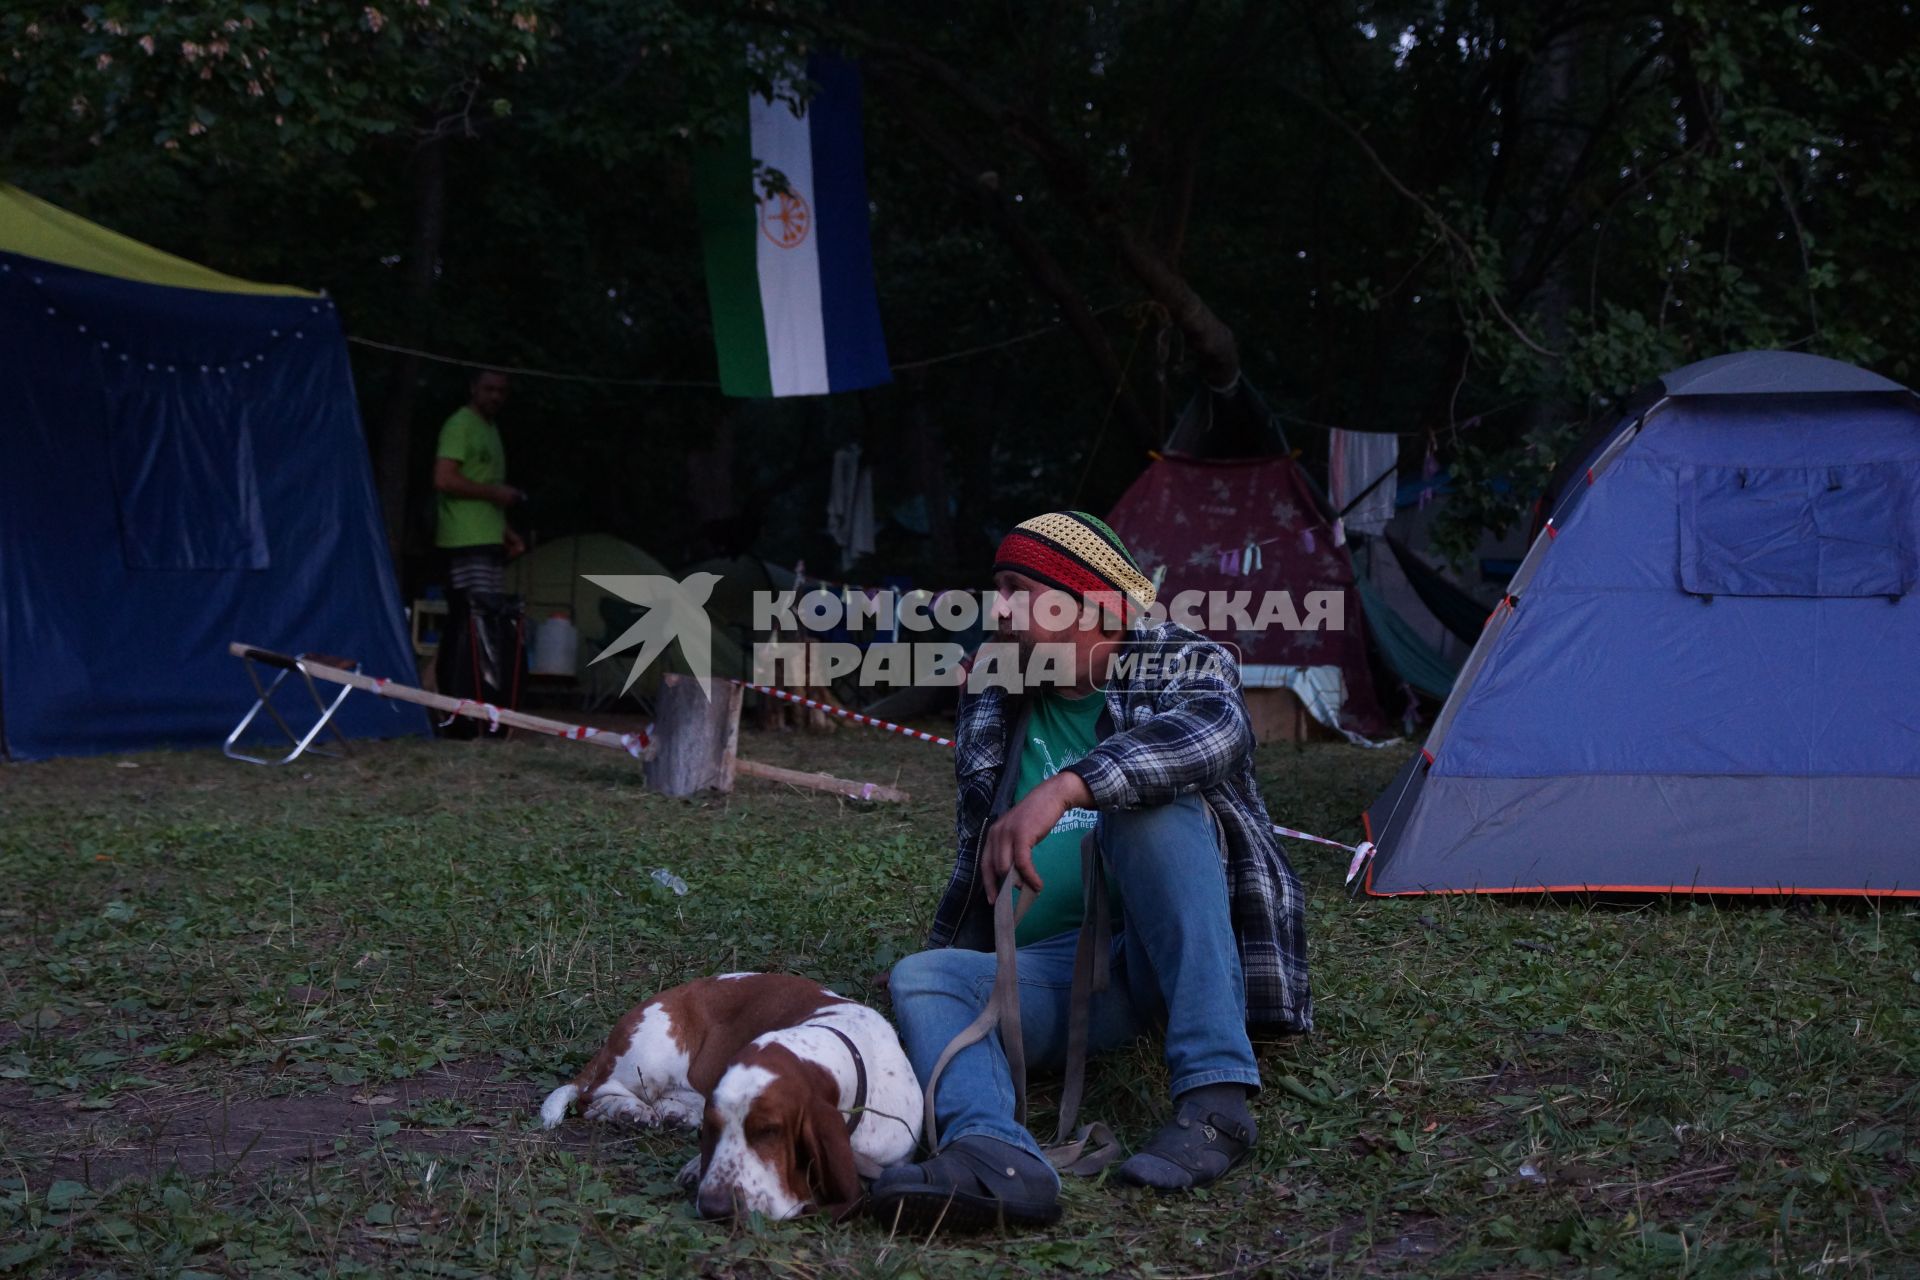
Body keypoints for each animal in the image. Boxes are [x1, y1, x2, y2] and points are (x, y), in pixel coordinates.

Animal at [533, 974, 921, 1220]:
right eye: (714, 1129)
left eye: (769, 1131)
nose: (716, 1208)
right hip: (654, 1053)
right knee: (592, 1095)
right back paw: (630, 1111)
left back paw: (671, 1114)